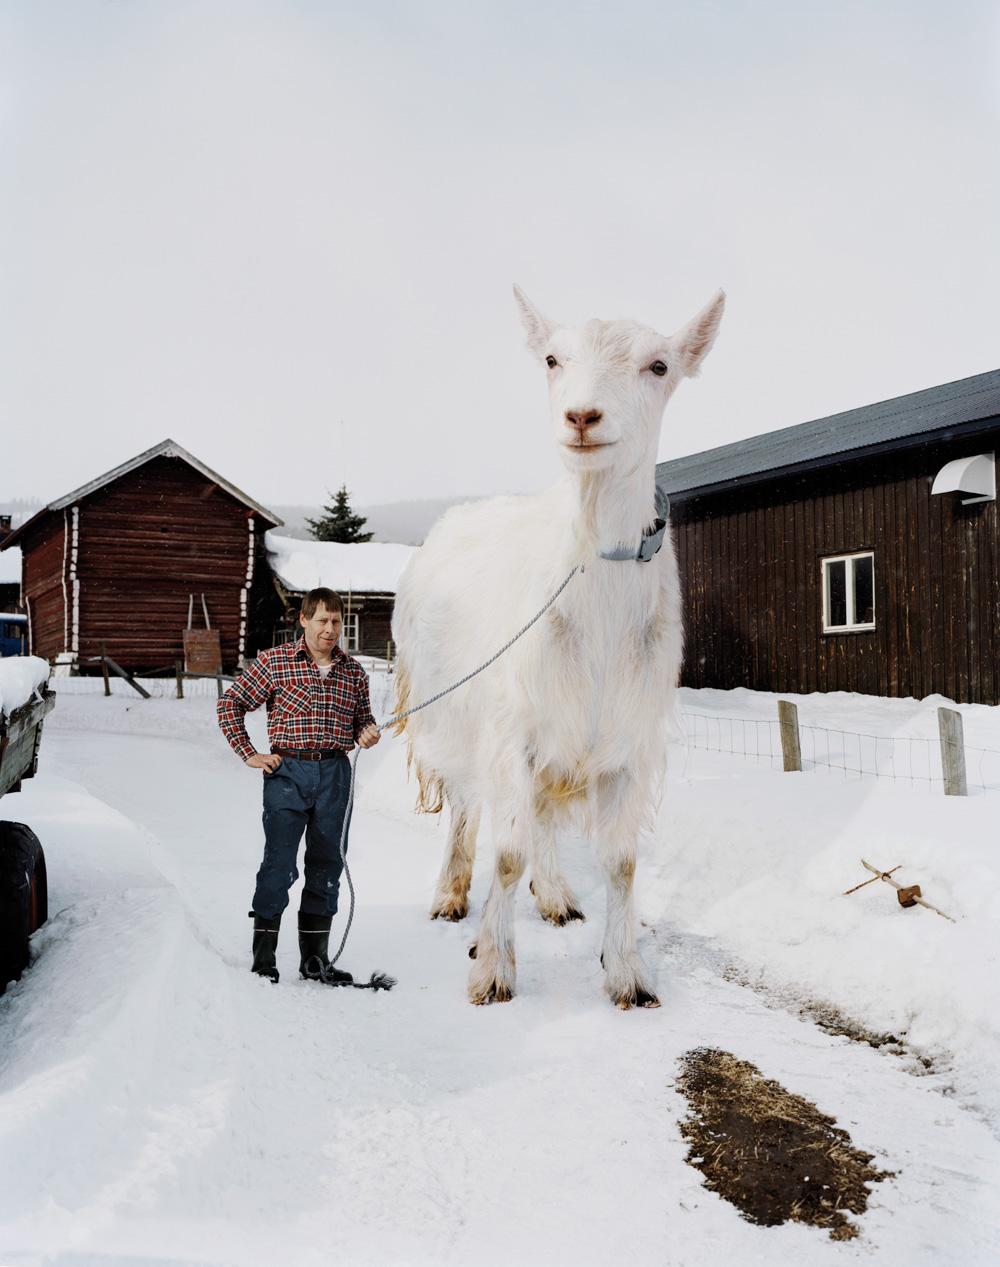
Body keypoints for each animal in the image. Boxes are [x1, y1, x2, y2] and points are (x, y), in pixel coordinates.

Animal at [391, 286, 725, 1007]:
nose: (582, 416)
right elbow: (506, 851)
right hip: (450, 711)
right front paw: (492, 968)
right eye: (551, 358)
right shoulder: (509, 724)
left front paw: (627, 975)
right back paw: (451, 894)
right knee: (467, 806)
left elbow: (622, 860)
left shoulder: (626, 737)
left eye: (659, 365)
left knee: (539, 811)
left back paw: (554, 895)